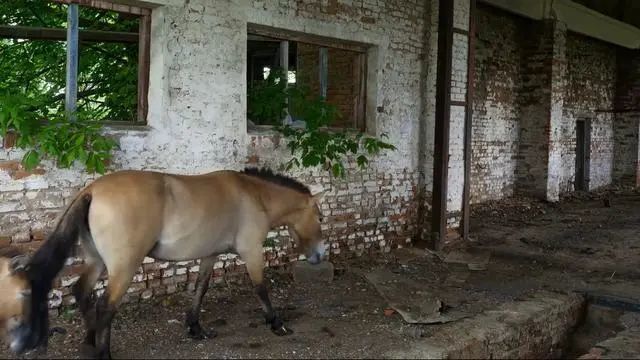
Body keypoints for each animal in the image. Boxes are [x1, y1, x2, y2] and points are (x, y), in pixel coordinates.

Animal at [0, 167, 328, 358]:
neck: (254, 194)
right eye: (320, 217)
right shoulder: (252, 252)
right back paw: (103, 352)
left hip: (97, 262)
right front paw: (277, 324)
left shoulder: (210, 255)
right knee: (106, 306)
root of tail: (92, 190)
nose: (320, 255)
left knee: (82, 292)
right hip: (123, 267)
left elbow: (200, 288)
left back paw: (90, 341)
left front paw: (196, 328)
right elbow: (261, 288)